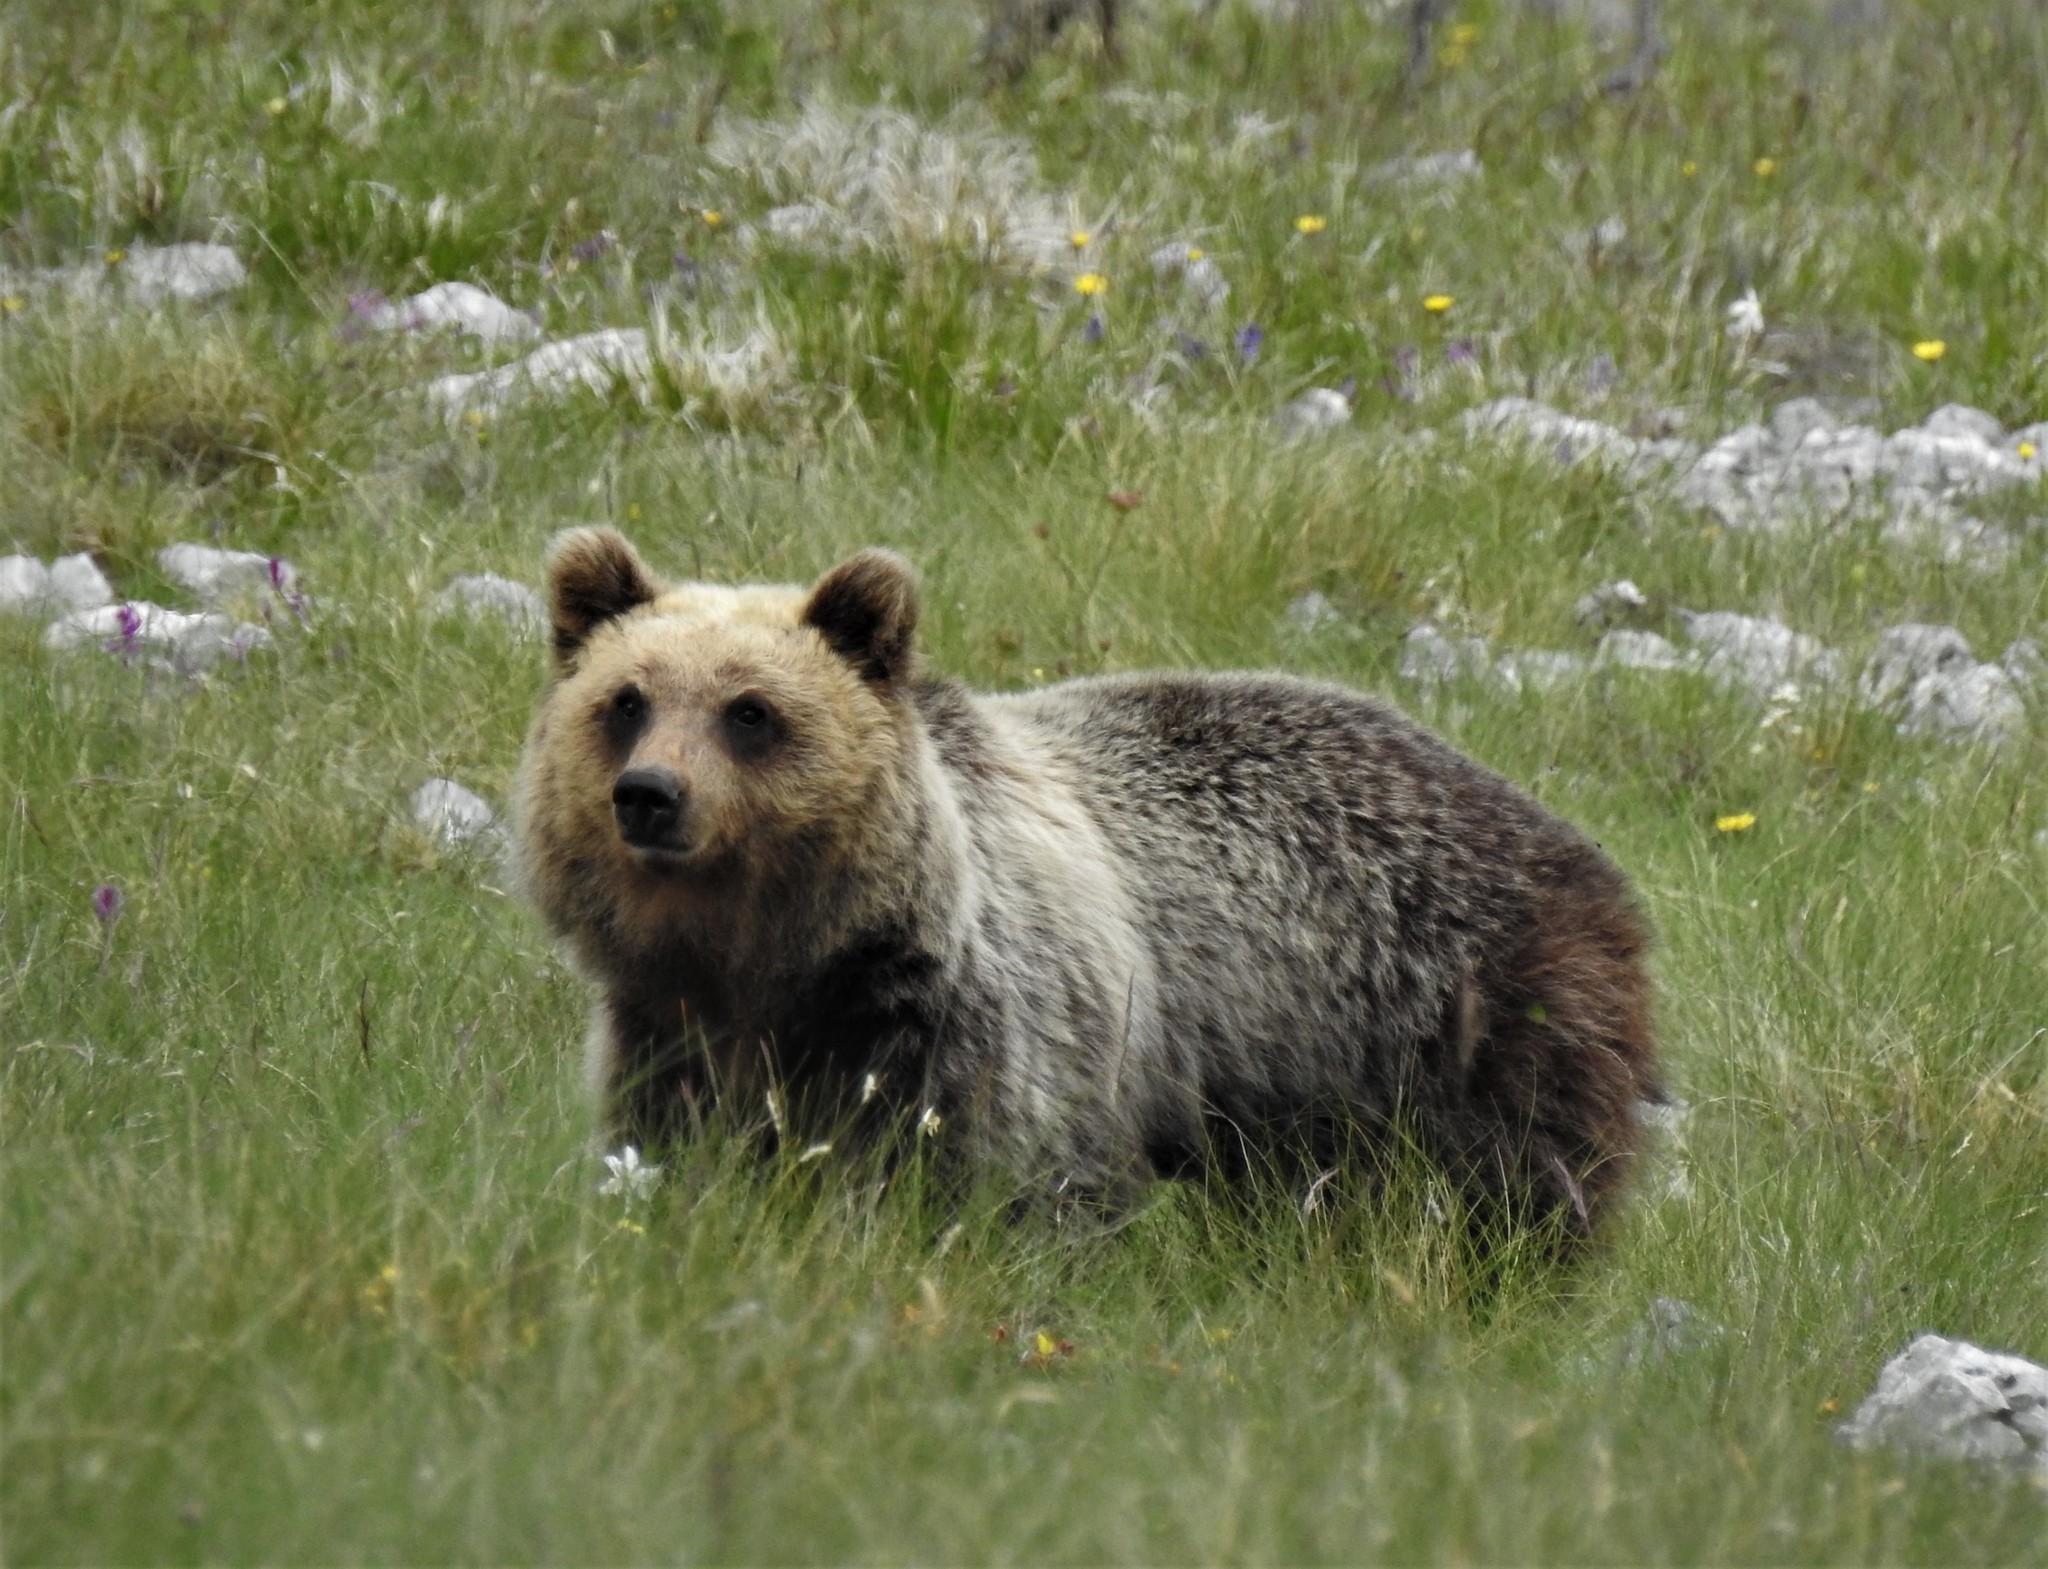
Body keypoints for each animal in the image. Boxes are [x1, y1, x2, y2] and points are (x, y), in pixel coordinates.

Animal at [514, 527, 1660, 1247]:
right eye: (625, 699)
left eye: (749, 711)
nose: (649, 795)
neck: (788, 959)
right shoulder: (669, 1028)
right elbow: (669, 1141)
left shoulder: (970, 1022)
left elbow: (1008, 1175)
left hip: (1466, 1012)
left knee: (1517, 1182)